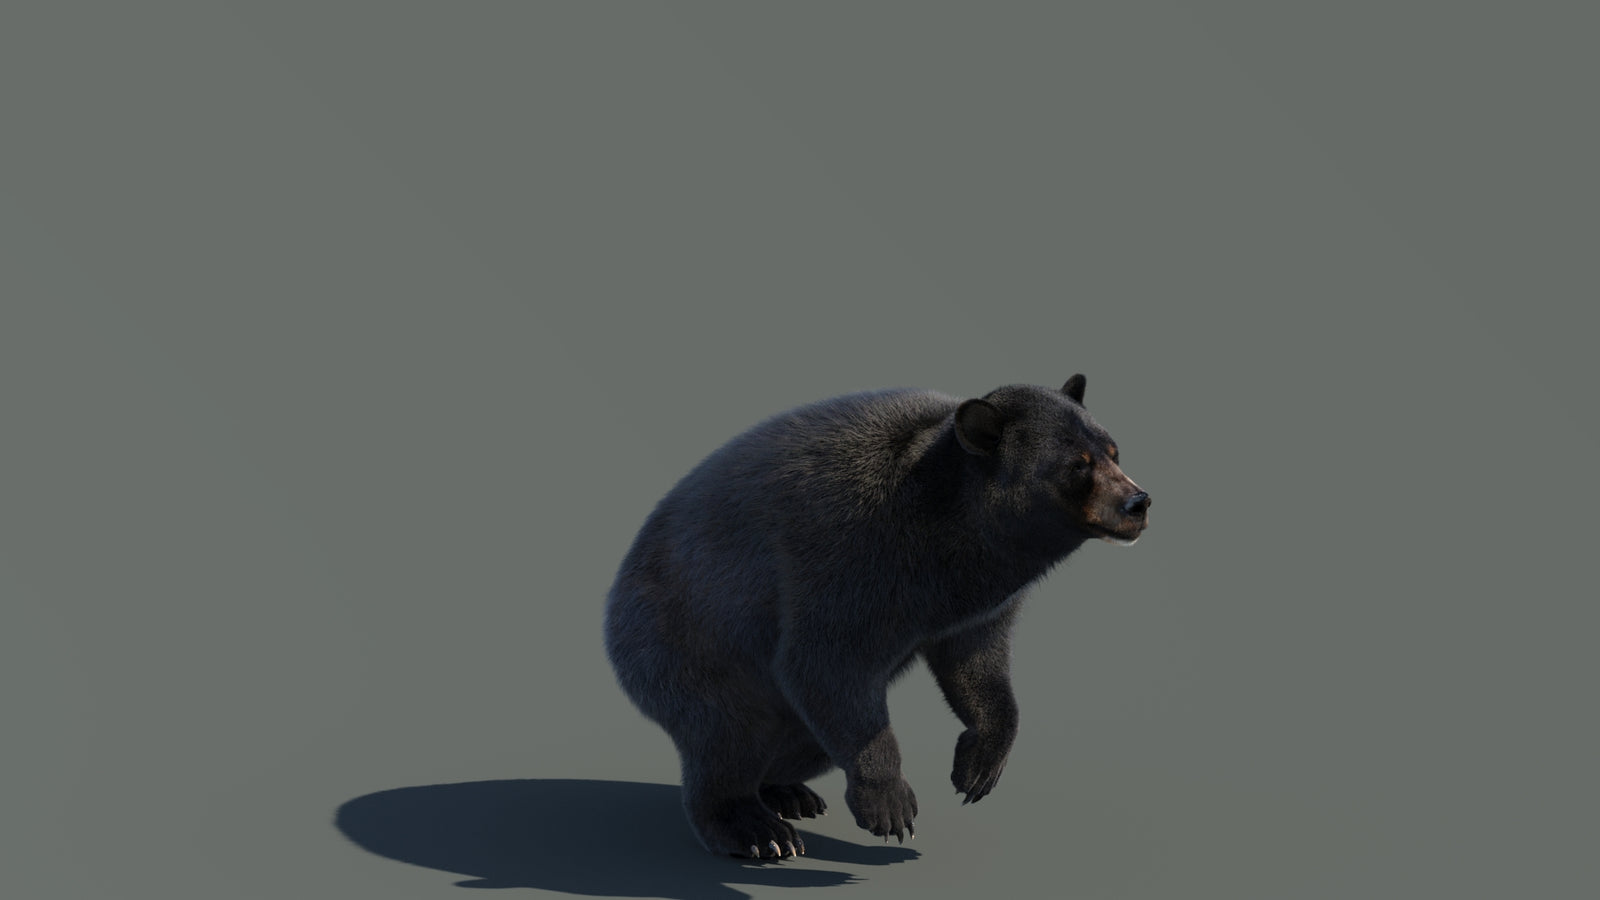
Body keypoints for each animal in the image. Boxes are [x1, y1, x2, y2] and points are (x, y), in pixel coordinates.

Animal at [603, 375, 1150, 859]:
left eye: (1114, 451)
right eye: (1077, 465)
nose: (1139, 501)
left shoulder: (976, 601)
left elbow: (977, 662)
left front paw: (978, 768)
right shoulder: (851, 552)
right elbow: (823, 660)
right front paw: (890, 805)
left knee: (801, 739)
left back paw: (788, 792)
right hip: (678, 641)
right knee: (727, 733)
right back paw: (757, 829)